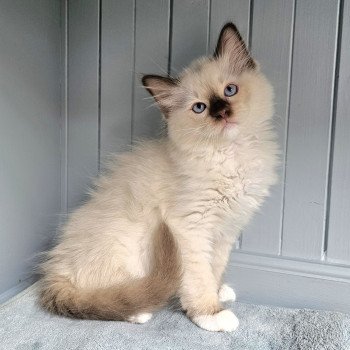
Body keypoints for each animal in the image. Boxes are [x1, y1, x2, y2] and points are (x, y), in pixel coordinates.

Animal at [39, 23, 278, 332]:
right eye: (199, 108)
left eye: (230, 90)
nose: (222, 112)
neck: (230, 156)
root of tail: (55, 268)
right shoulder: (191, 228)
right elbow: (199, 278)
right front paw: (210, 313)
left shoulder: (225, 230)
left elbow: (214, 268)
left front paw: (218, 291)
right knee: (108, 297)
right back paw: (138, 312)